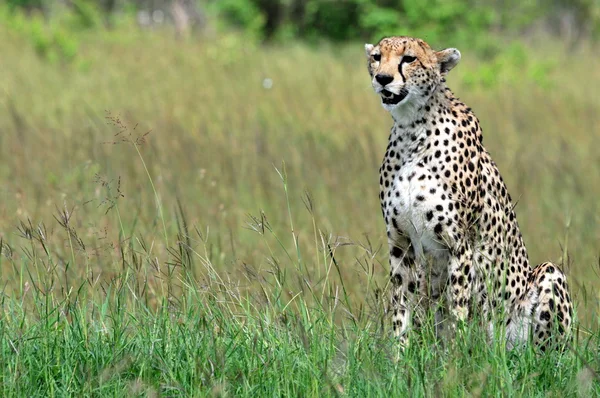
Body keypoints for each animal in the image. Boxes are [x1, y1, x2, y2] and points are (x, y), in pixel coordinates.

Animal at [364, 35, 576, 350]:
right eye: (377, 57)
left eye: (409, 58)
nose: (382, 78)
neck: (411, 129)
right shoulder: (400, 241)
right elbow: (401, 308)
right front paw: (399, 357)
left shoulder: (459, 242)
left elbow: (458, 309)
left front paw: (455, 358)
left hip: (547, 279)